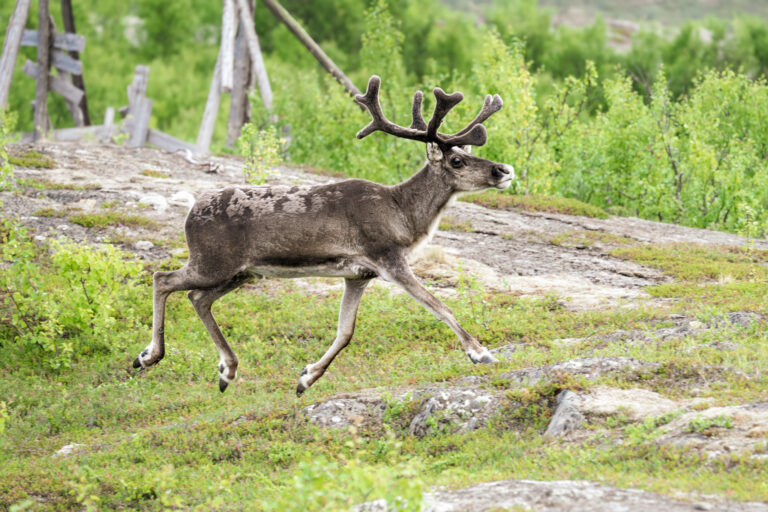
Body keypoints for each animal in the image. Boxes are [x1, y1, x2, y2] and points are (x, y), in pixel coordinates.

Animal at [132, 75, 513, 395]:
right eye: (456, 162)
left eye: (465, 153)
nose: (505, 169)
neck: (404, 215)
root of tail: (190, 212)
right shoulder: (388, 258)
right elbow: (440, 306)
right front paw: (481, 353)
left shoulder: (359, 275)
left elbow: (345, 332)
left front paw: (306, 378)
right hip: (213, 262)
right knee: (163, 278)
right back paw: (148, 356)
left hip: (242, 272)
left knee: (197, 297)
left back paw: (227, 370)